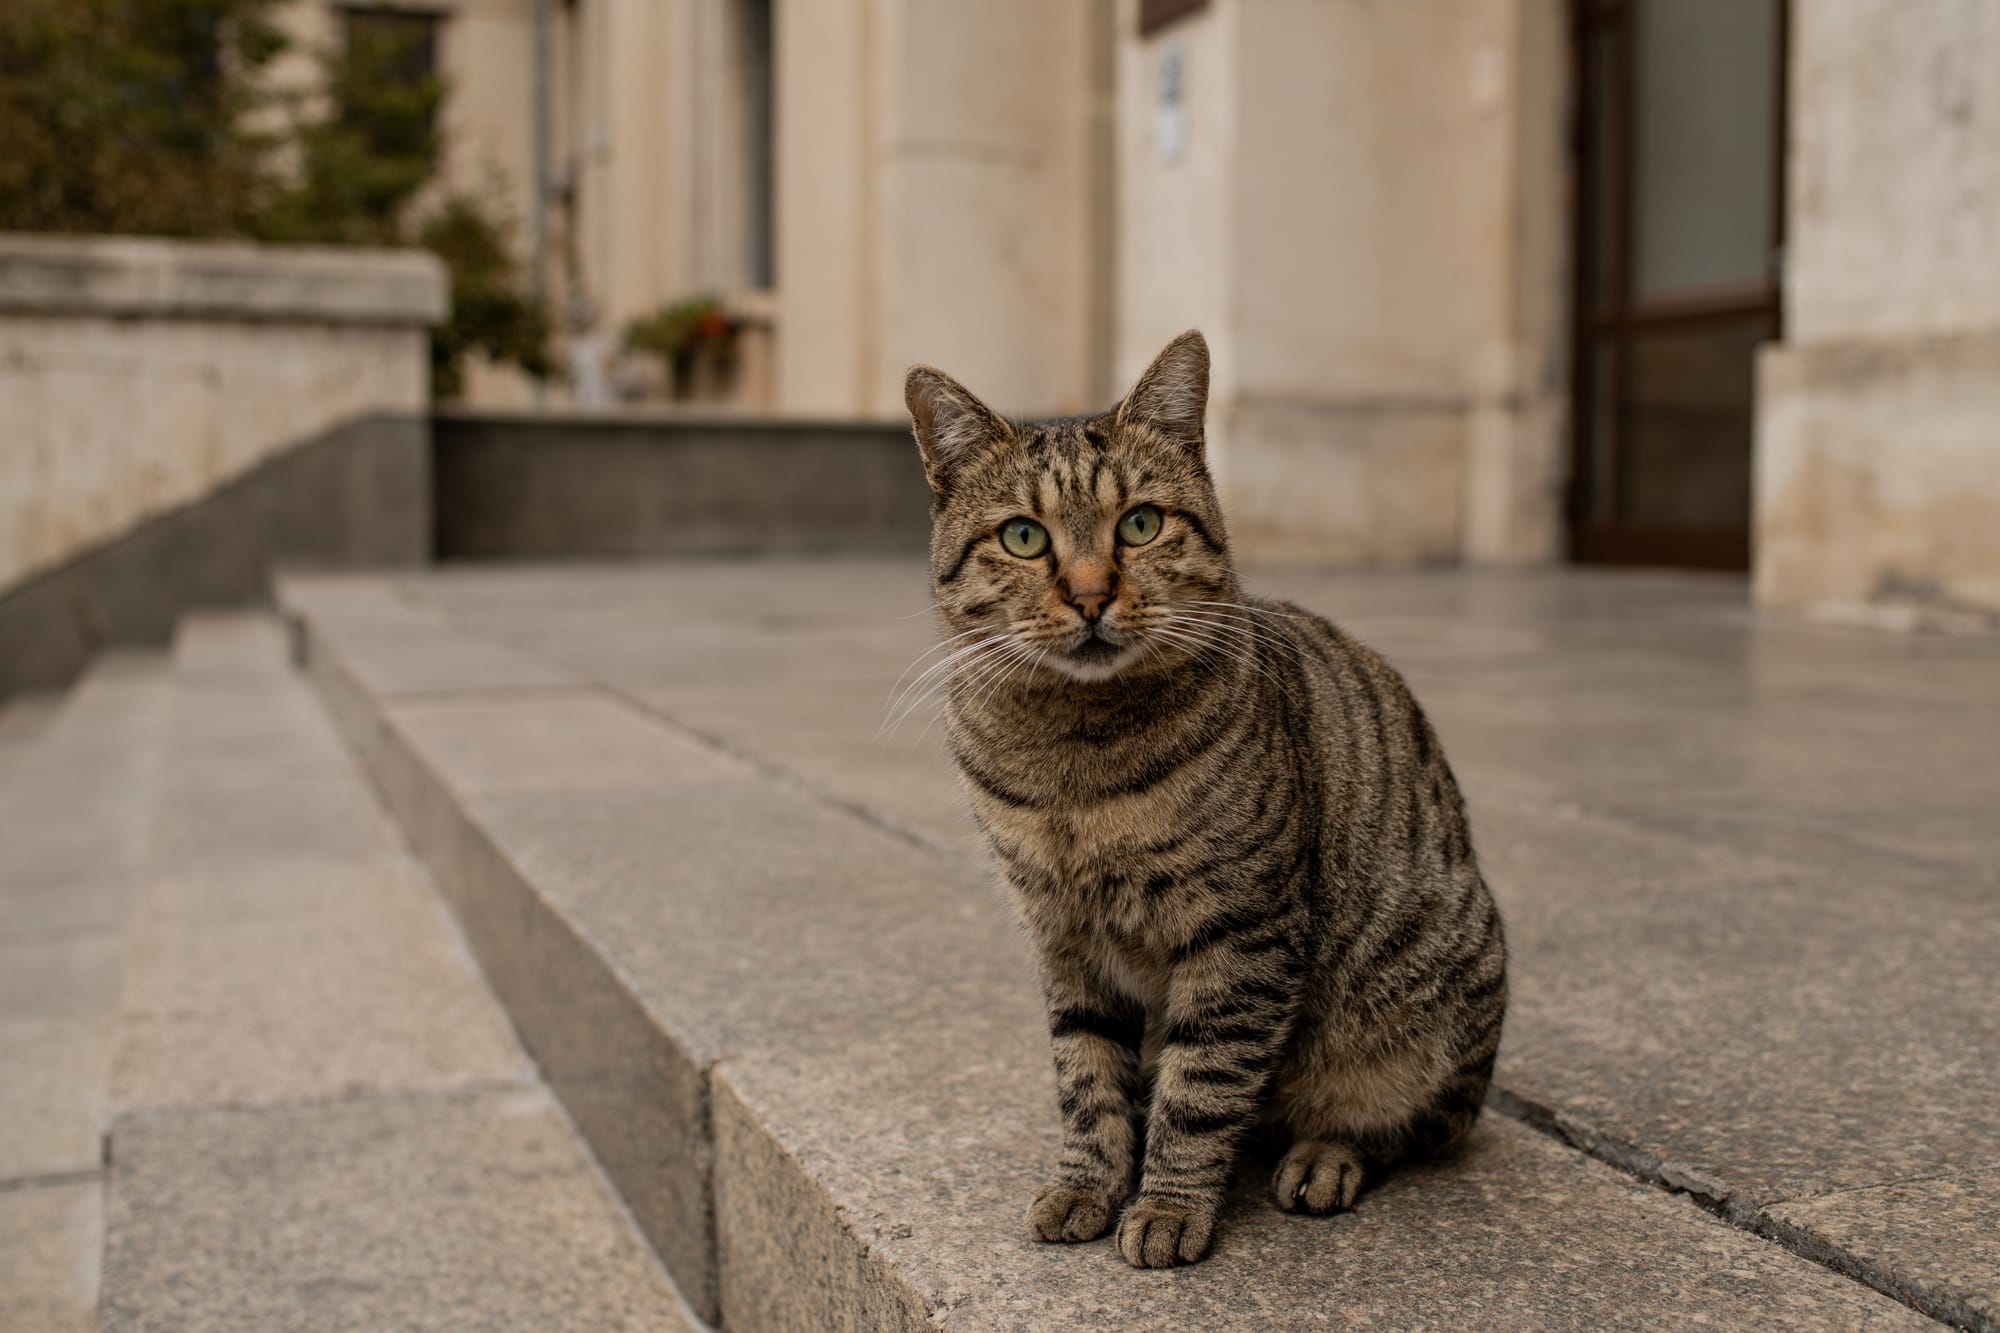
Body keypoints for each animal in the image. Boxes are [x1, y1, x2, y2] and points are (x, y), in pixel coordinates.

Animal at [908, 332, 1504, 1264]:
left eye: (1141, 523)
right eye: (1024, 537)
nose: (1091, 593)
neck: (1076, 760)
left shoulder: (1240, 932)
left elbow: (1203, 1085)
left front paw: (1167, 1206)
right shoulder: (1062, 935)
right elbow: (1086, 1074)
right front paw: (1089, 1183)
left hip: (1429, 1001)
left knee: (1406, 1126)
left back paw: (1324, 1155)